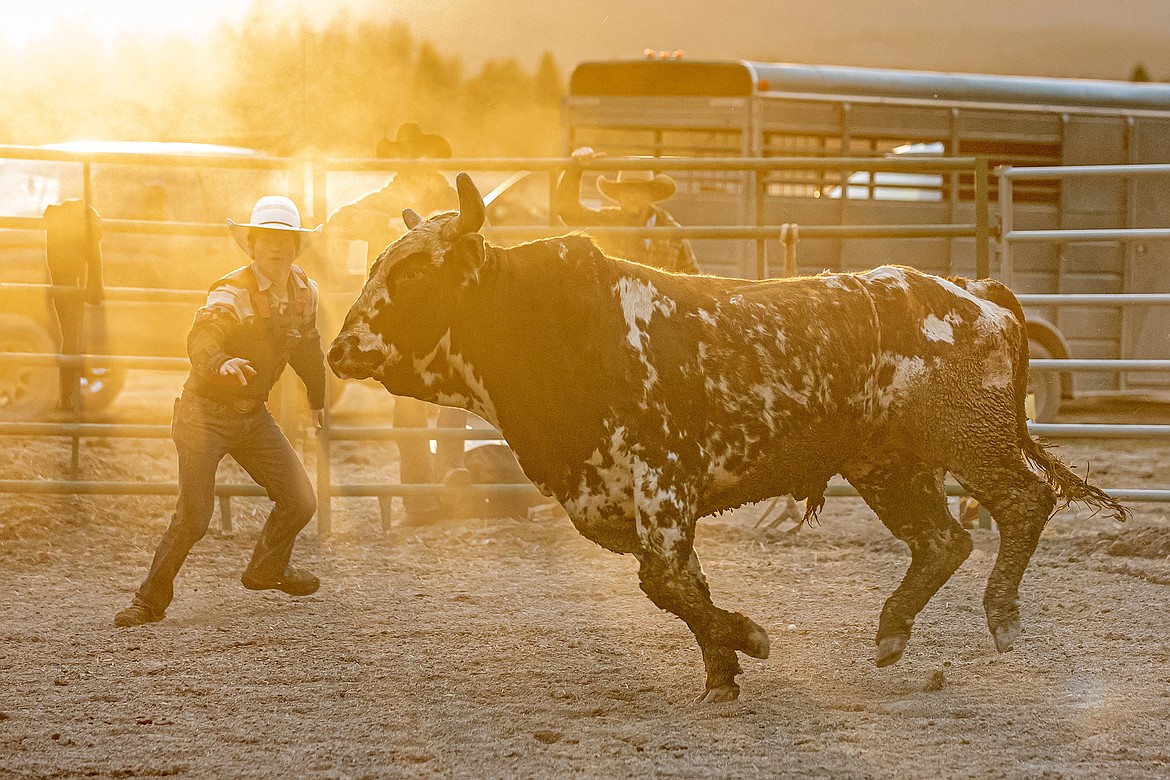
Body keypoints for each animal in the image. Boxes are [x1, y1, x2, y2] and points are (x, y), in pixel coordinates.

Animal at [327, 174, 1123, 706]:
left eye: (414, 274)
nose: (340, 350)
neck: (556, 325)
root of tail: (974, 292)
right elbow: (679, 584)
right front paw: (722, 671)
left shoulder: (664, 477)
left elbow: (665, 581)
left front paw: (746, 640)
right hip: (886, 464)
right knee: (941, 540)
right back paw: (893, 630)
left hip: (970, 439)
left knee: (1021, 503)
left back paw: (1003, 618)